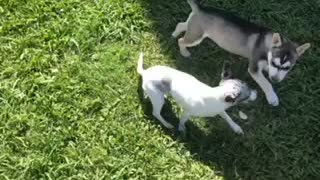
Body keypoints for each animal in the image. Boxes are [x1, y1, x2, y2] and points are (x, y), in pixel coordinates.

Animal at [172, 0, 310, 106]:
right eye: (274, 63)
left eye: (287, 68)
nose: (275, 79)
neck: (267, 45)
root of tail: (200, 8)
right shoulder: (254, 68)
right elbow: (265, 83)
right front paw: (272, 97)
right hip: (196, 37)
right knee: (181, 40)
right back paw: (184, 51)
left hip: (193, 28)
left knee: (181, 25)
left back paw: (174, 33)